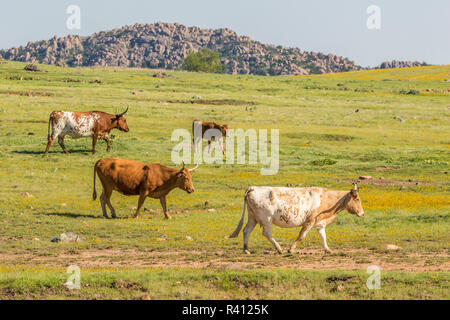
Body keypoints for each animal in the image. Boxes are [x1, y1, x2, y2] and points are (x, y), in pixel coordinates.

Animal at [229, 184, 366, 254]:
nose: (362, 213)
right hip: (266, 219)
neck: (326, 198)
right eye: (357, 199)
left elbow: (323, 237)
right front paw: (291, 249)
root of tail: (253, 188)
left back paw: (246, 250)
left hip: (253, 217)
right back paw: (279, 249)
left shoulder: (320, 223)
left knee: (246, 231)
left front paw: (328, 249)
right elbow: (301, 236)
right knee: (266, 233)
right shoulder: (309, 221)